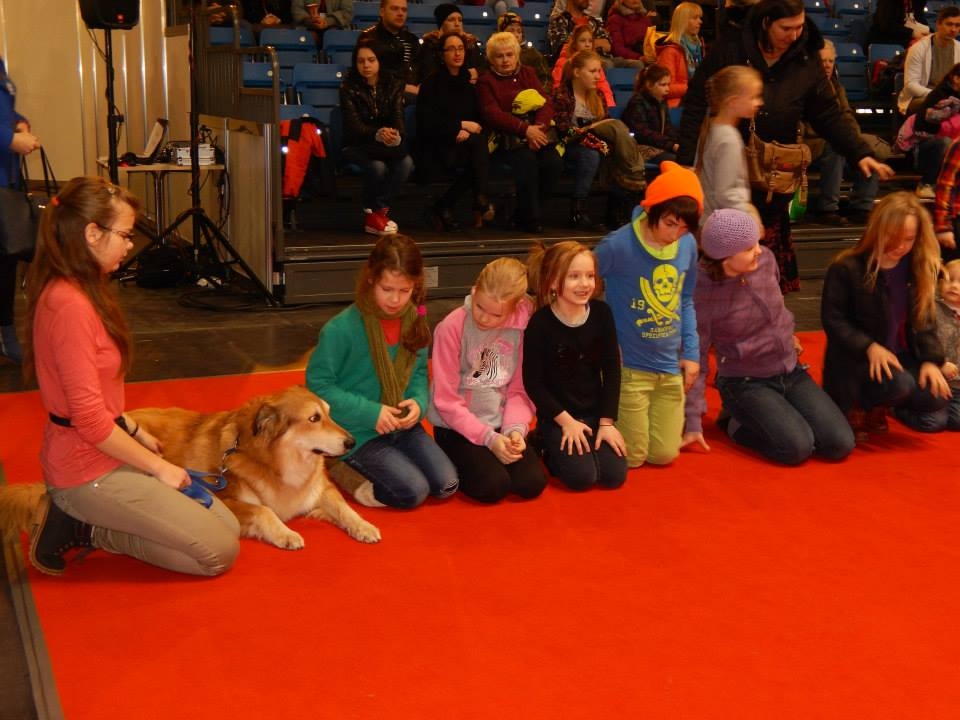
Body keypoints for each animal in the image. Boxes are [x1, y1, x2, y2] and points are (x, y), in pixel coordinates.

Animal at [125, 386, 380, 548]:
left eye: (328, 414)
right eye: (314, 419)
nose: (352, 442)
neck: (275, 464)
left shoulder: (321, 489)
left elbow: (344, 507)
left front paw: (364, 526)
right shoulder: (224, 499)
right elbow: (263, 509)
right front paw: (285, 533)